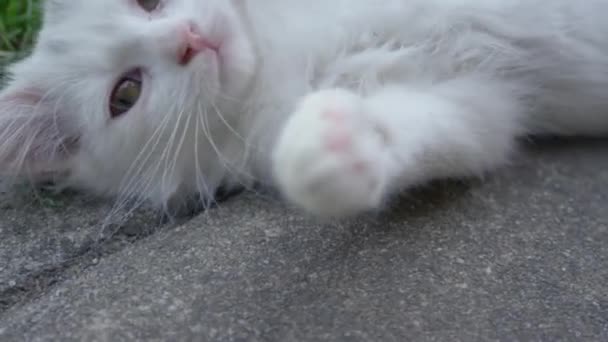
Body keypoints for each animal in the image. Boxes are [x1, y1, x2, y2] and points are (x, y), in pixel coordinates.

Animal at [1, 0, 608, 219]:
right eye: (124, 95)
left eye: (147, 0)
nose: (190, 38)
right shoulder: (476, 107)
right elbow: (407, 134)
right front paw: (331, 148)